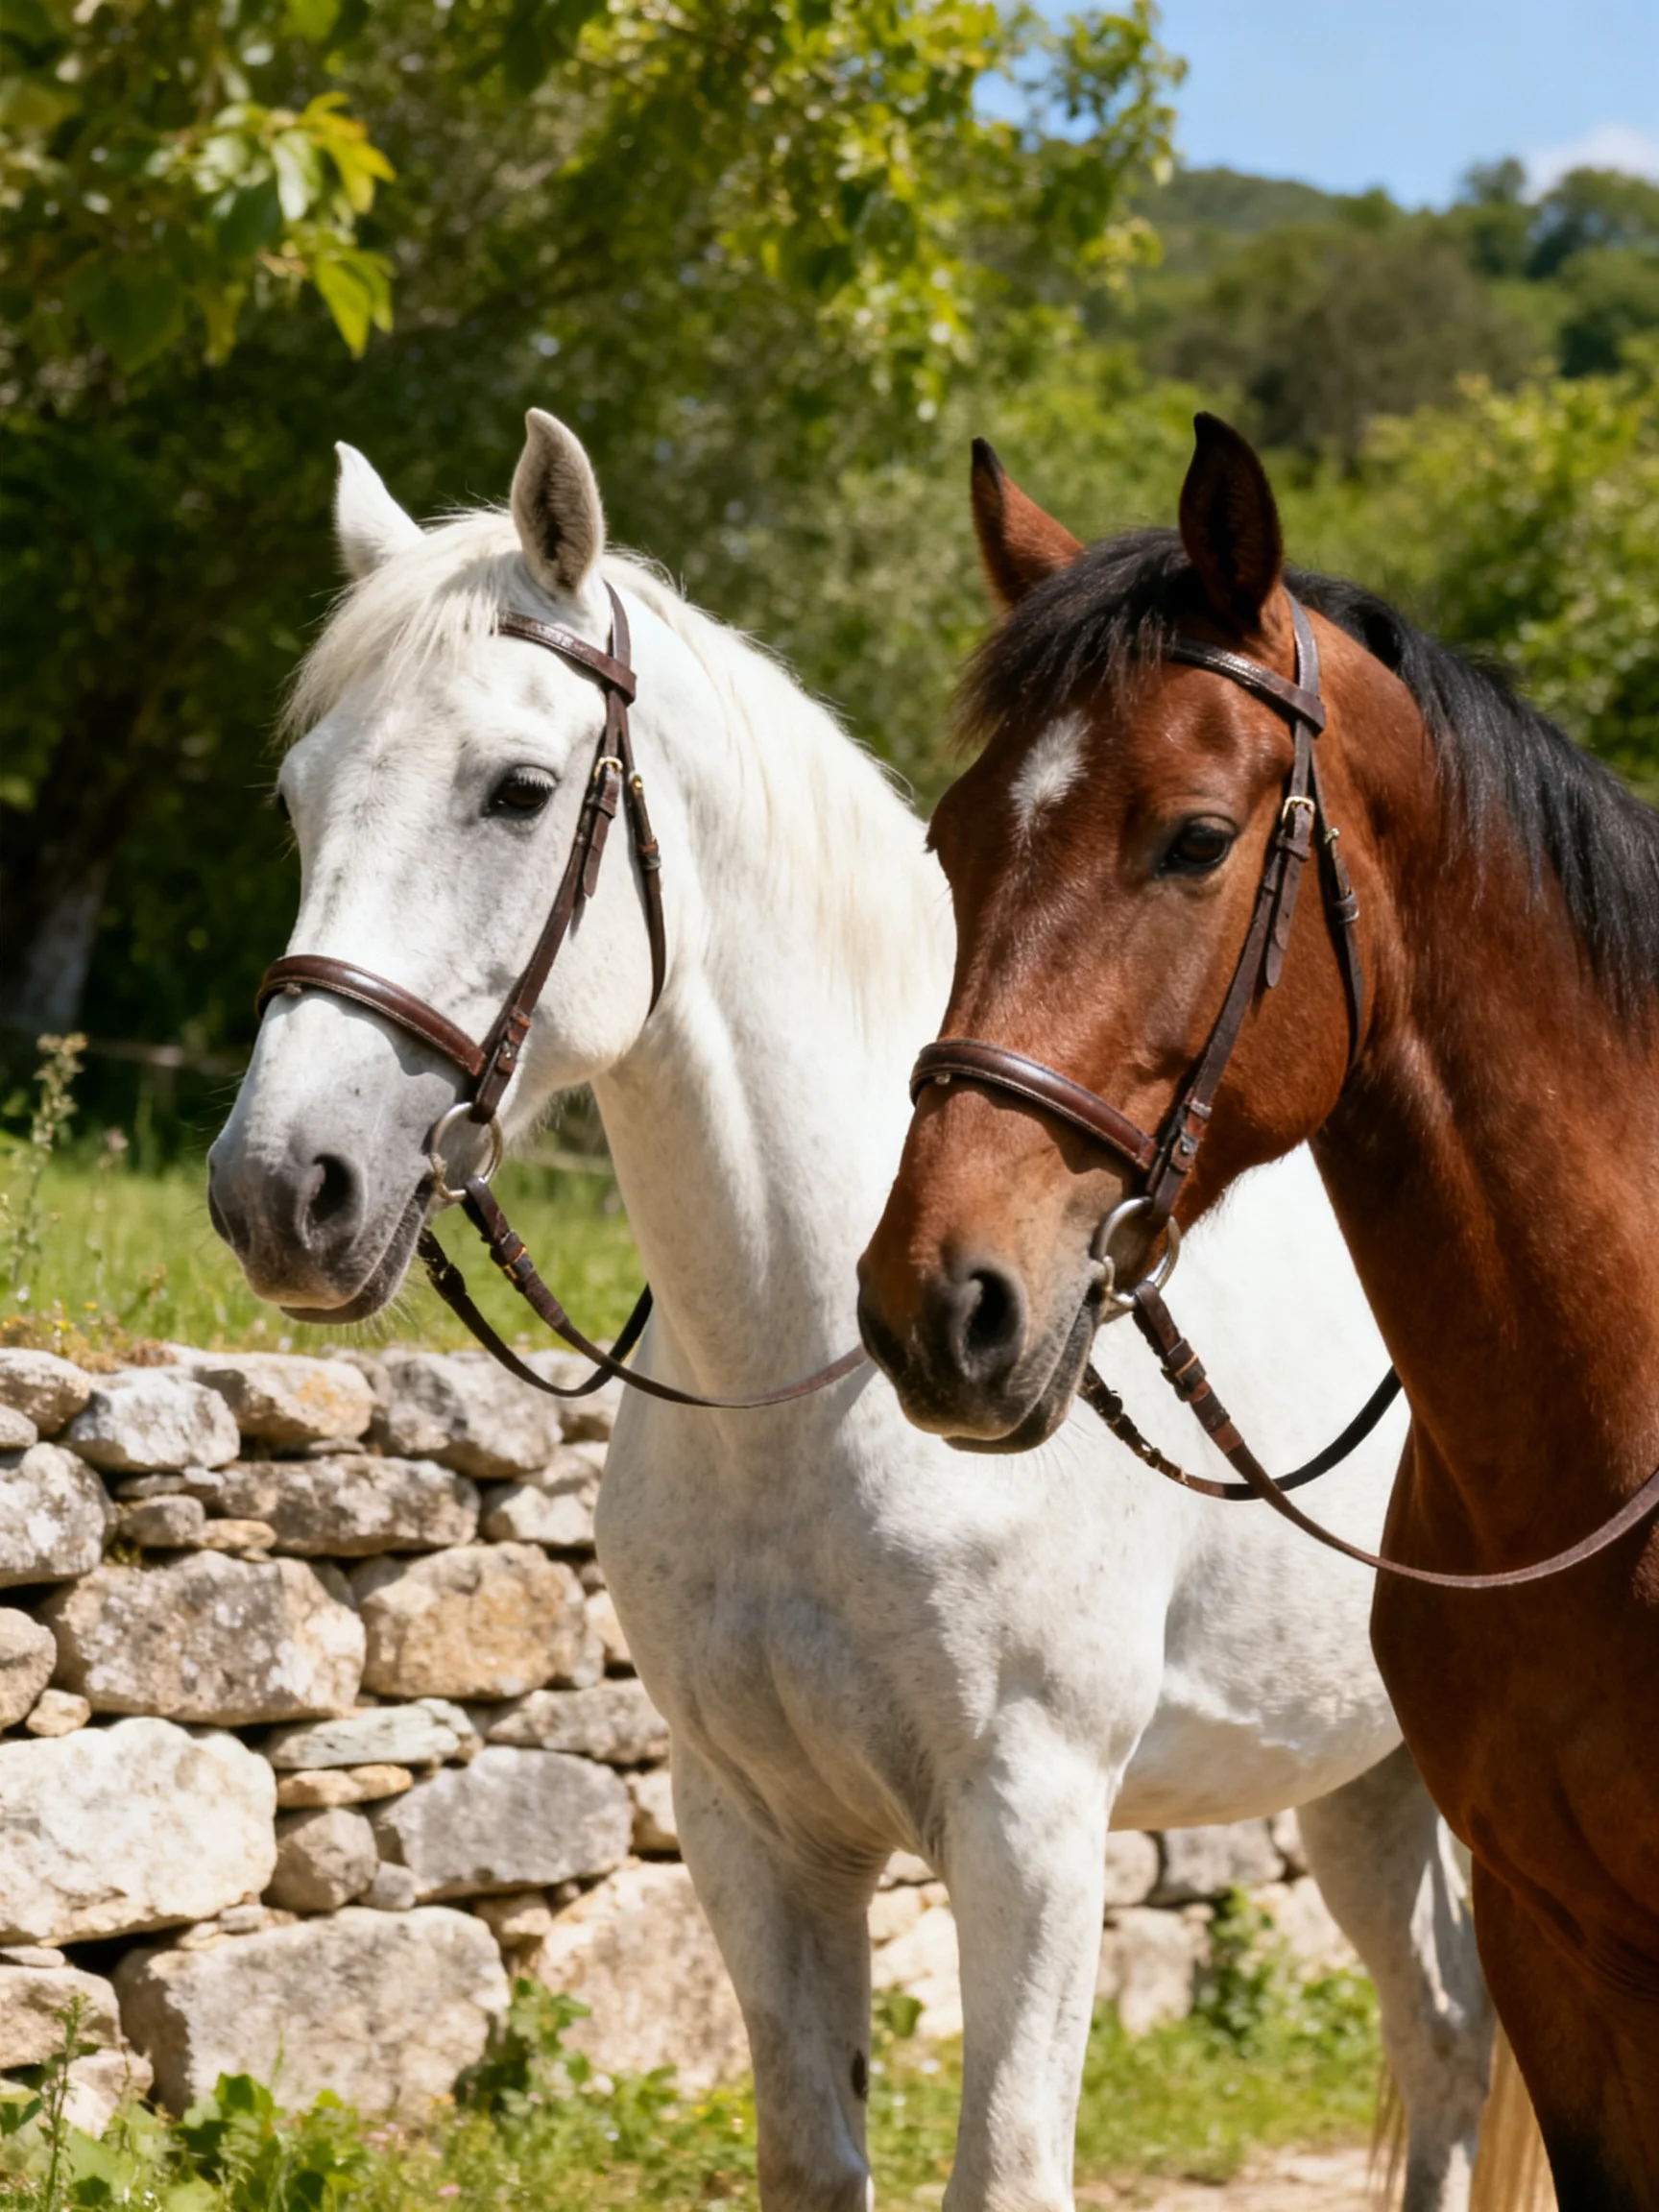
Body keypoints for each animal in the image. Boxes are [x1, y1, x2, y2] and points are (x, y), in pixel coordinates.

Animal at [206, 410, 1498, 2211]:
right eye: (301, 793)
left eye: (516, 789)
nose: (282, 1187)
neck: (810, 1384)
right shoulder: (753, 1831)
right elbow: (811, 2158)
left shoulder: (1030, 1831)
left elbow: (1006, 2169)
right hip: (1365, 1779)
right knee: (1441, 2036)